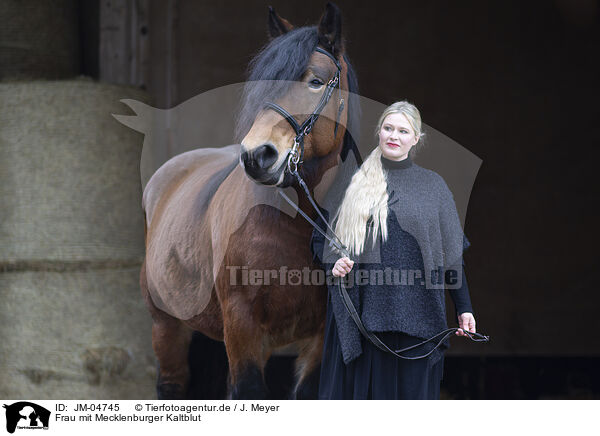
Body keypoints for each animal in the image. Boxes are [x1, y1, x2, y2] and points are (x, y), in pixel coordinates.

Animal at [139, 2, 356, 398]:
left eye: (315, 81)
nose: (258, 156)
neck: (294, 224)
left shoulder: (319, 339)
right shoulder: (242, 325)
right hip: (167, 327)